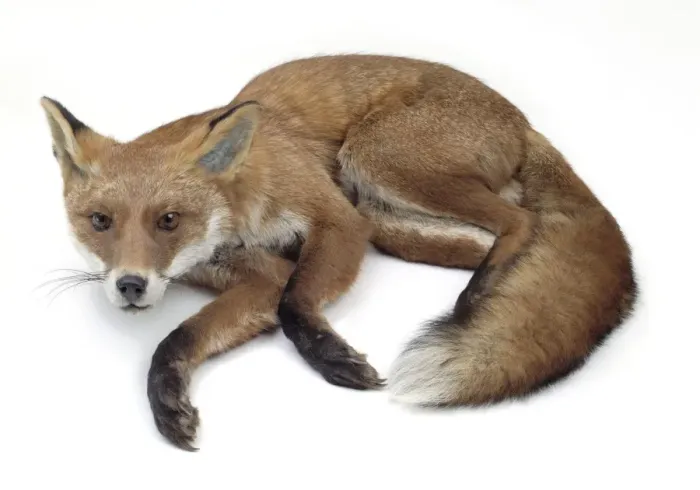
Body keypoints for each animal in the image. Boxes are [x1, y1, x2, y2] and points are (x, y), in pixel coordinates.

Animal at [40, 54, 637, 451]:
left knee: (521, 220)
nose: (131, 285)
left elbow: (295, 302)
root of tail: (523, 122)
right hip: (385, 218)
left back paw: (478, 299)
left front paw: (331, 357)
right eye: (100, 222)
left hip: (374, 161)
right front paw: (167, 398)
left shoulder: (335, 221)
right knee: (501, 237)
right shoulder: (256, 275)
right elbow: (180, 337)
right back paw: (488, 289)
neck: (238, 212)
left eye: (168, 221)